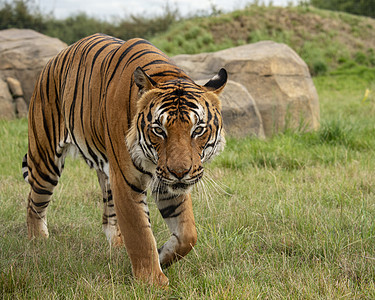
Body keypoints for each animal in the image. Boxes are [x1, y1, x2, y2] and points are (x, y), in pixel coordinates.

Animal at [22, 32, 226, 286]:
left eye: (198, 130)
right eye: (159, 130)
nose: (180, 172)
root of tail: (53, 60)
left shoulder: (166, 183)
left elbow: (188, 234)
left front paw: (163, 255)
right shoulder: (128, 181)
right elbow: (140, 234)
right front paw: (152, 282)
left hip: (107, 173)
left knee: (108, 216)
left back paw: (117, 247)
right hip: (45, 159)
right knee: (34, 202)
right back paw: (37, 242)